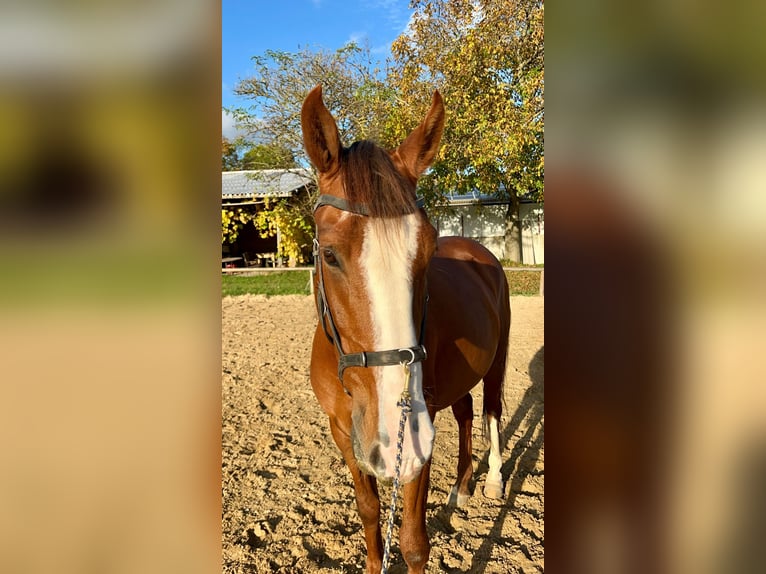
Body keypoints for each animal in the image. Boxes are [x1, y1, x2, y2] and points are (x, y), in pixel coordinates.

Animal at [304, 85, 512, 574]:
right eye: (329, 255)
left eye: (428, 249)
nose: (397, 422)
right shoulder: (343, 431)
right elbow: (369, 510)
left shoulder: (417, 444)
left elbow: (414, 541)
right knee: (467, 412)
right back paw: (462, 486)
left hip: (495, 362)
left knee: (492, 410)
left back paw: (493, 480)